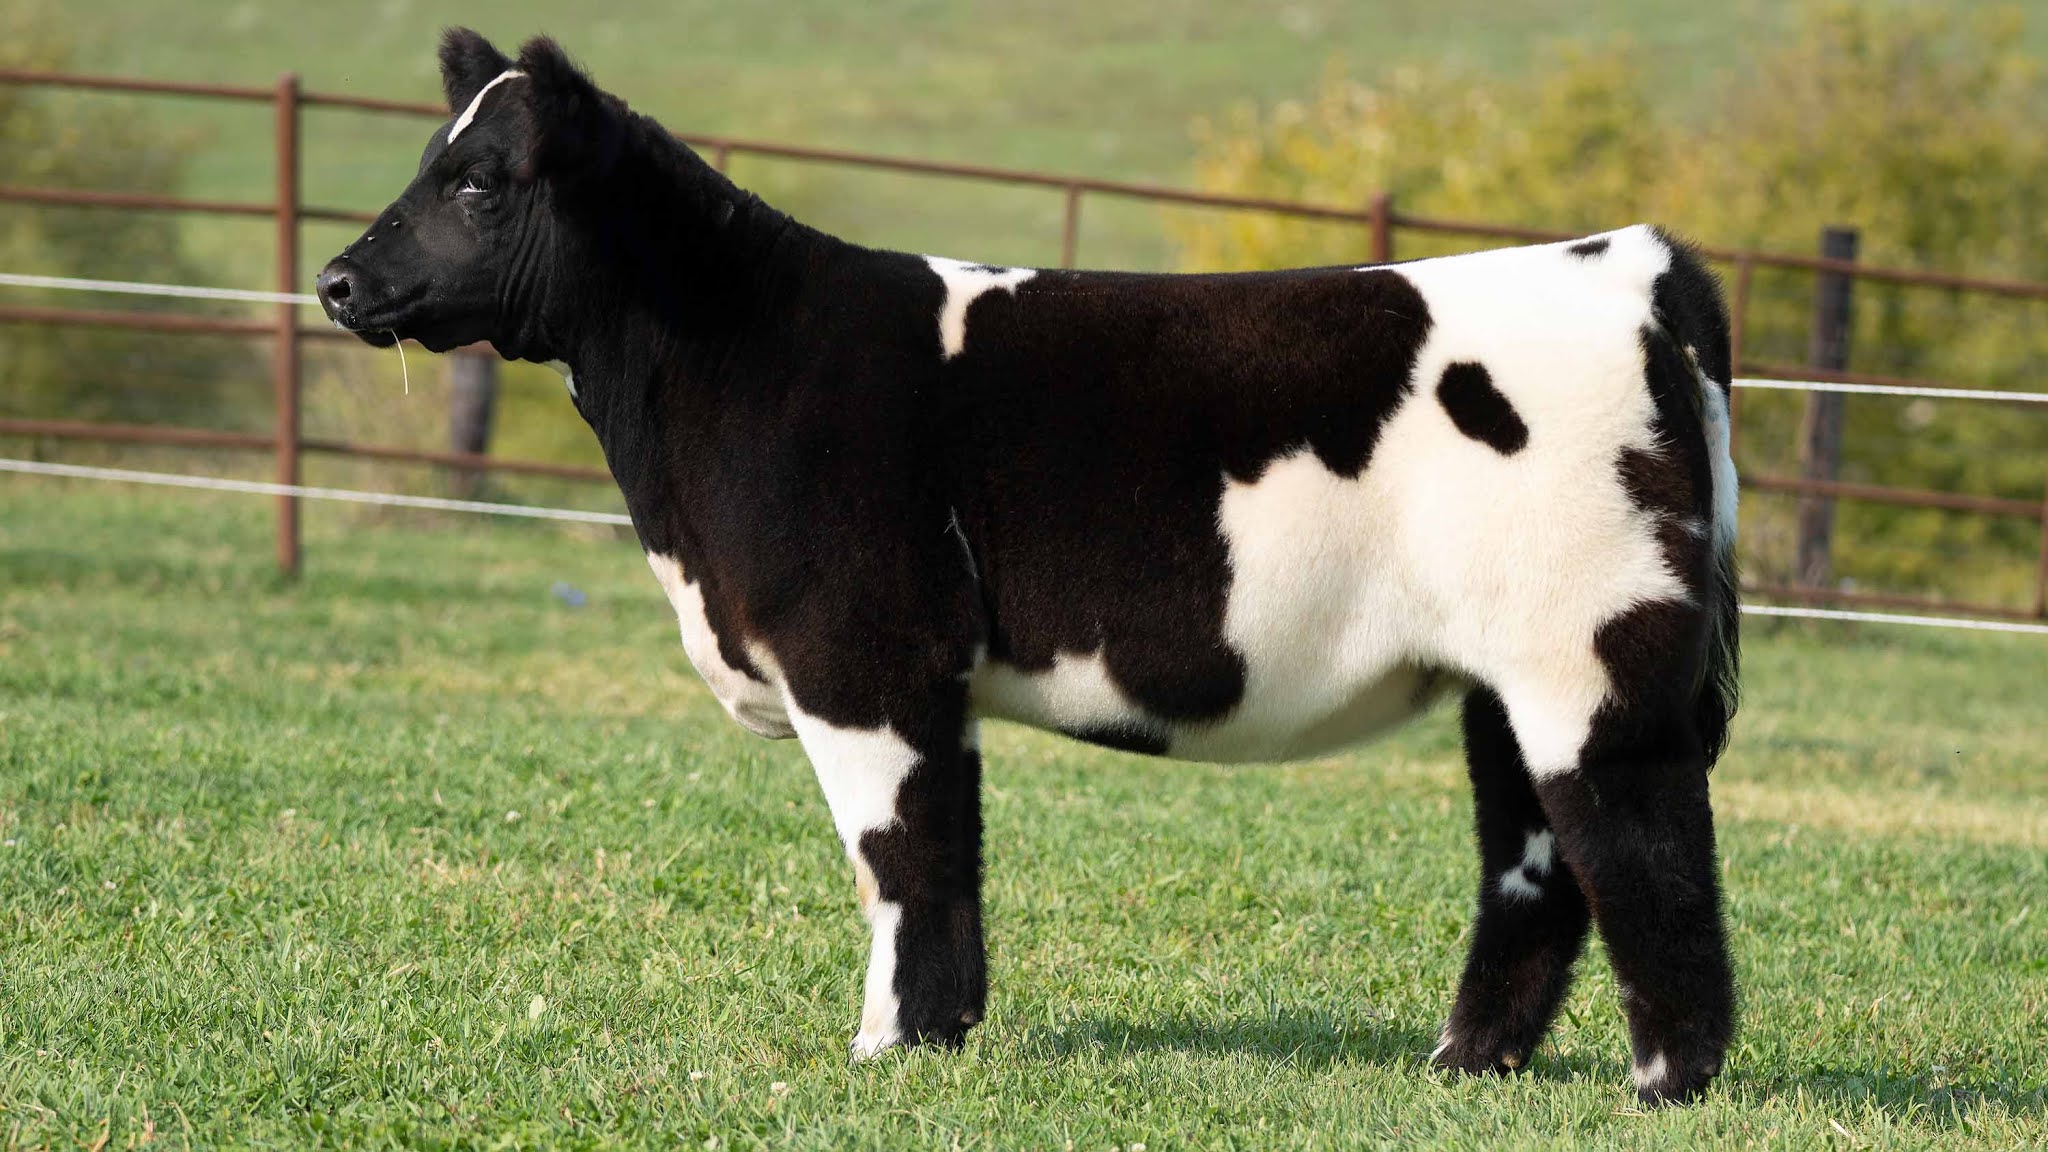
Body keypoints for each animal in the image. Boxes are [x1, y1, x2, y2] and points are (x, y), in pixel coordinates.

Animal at [315, 29, 1742, 1106]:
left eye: (479, 181)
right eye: (431, 162)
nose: (335, 280)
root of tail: (1634, 263)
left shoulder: (863, 654)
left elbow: (898, 850)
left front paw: (888, 1046)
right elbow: (946, 846)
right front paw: (936, 1037)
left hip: (1587, 648)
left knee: (1639, 839)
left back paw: (1666, 1081)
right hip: (1507, 672)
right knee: (1534, 859)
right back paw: (1462, 1064)